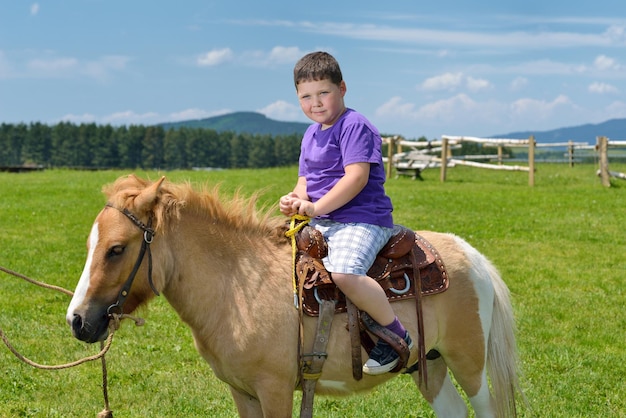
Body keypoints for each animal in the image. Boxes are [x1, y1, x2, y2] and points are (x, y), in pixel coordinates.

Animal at [64, 176, 520, 418]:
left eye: (116, 249)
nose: (77, 320)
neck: (237, 286)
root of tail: (472, 255)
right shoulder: (243, 392)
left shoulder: (276, 389)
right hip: (428, 363)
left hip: (468, 363)